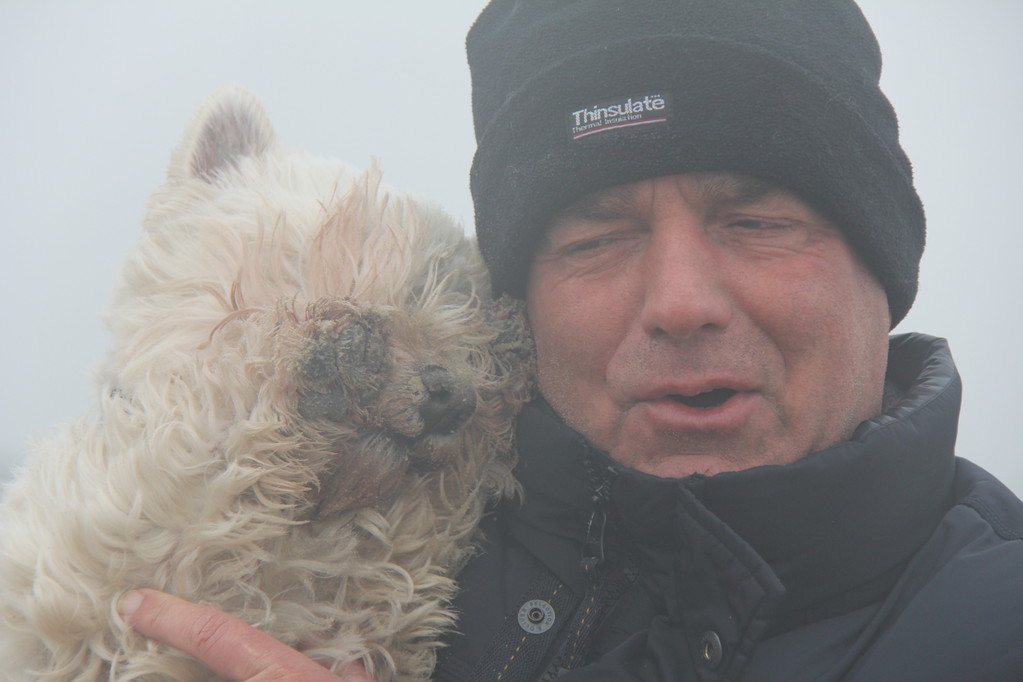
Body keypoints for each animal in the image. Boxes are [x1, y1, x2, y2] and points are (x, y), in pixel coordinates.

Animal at [0, 87, 540, 678]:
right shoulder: (92, 576)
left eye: (464, 308)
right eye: (347, 251)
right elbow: (192, 484)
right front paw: (328, 370)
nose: (453, 397)